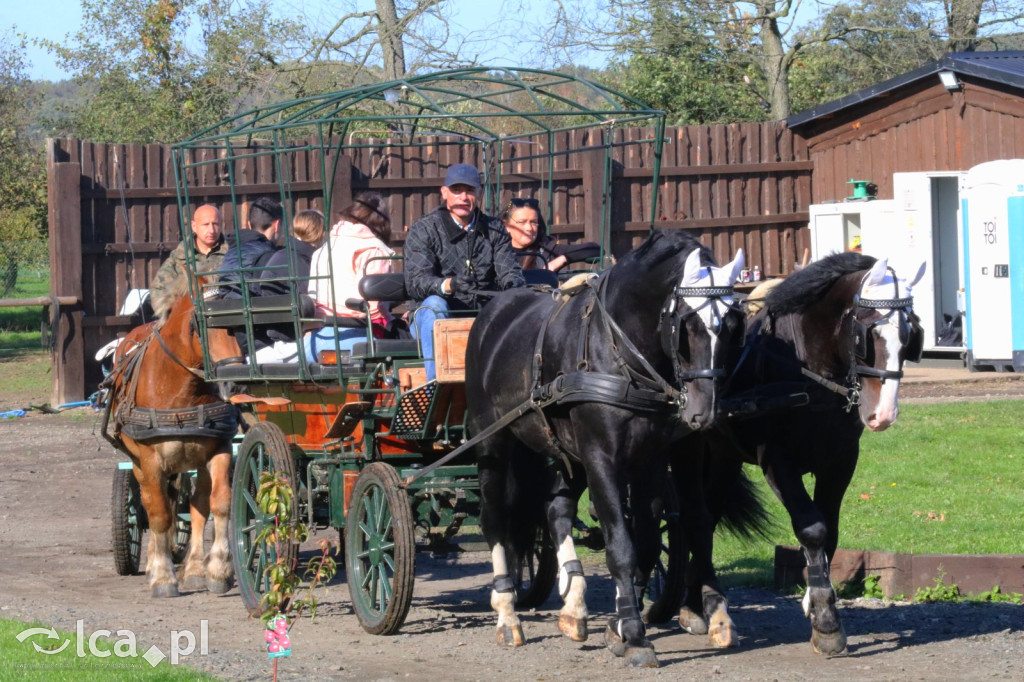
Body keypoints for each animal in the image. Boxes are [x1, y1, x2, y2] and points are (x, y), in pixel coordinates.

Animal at [102, 276, 244, 593]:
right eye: (202, 323)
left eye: (240, 322)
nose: (236, 383)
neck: (181, 390)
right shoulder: (150, 459)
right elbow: (159, 513)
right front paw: (163, 575)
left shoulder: (219, 449)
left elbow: (218, 504)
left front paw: (216, 569)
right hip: (138, 463)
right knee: (150, 502)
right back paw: (155, 563)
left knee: (194, 504)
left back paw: (193, 566)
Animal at [466, 228, 745, 663]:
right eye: (687, 325)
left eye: (733, 325)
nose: (706, 412)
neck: (619, 353)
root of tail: (494, 309)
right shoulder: (601, 457)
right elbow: (621, 544)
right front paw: (633, 634)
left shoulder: (649, 459)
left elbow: (648, 541)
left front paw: (621, 623)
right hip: (494, 442)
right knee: (495, 519)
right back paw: (507, 614)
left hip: (567, 453)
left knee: (556, 509)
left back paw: (573, 606)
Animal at [675, 250, 925, 655]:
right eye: (866, 333)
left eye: (910, 334)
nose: (883, 415)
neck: (806, 371)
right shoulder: (778, 462)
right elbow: (812, 527)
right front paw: (825, 619)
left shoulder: (841, 461)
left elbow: (831, 530)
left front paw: (813, 597)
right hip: (691, 448)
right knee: (694, 518)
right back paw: (697, 607)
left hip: (726, 456)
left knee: (708, 518)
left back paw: (697, 603)